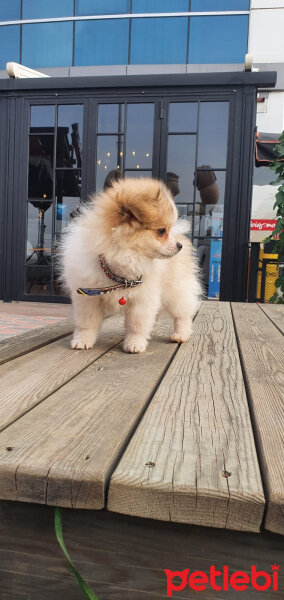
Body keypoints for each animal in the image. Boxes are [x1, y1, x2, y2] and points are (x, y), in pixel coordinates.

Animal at [60, 180, 202, 354]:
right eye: (162, 231)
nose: (179, 245)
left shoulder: (142, 299)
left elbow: (137, 325)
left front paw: (135, 343)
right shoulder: (88, 298)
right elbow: (86, 323)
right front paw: (82, 340)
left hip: (175, 291)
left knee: (182, 315)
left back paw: (181, 334)